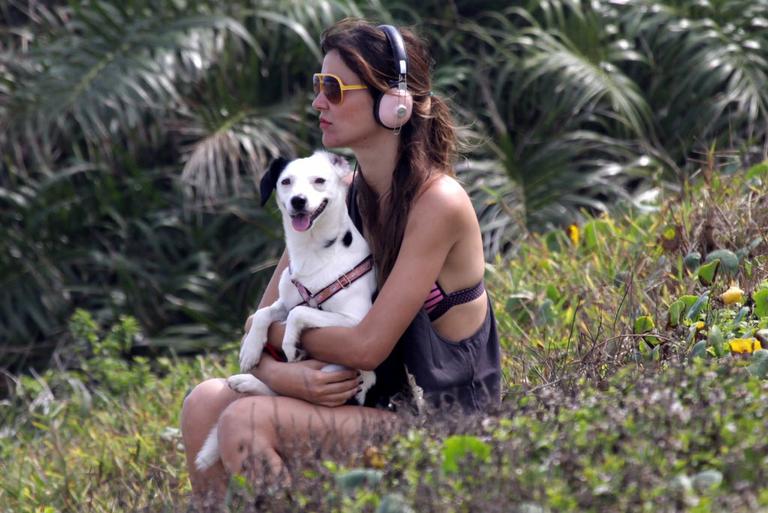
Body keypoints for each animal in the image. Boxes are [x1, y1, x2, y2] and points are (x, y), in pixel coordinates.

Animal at [195, 150, 378, 470]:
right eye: (286, 182)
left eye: (319, 180)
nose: (298, 201)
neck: (314, 250)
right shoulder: (286, 299)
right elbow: (263, 314)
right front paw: (251, 349)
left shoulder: (355, 323)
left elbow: (299, 314)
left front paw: (291, 344)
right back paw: (247, 382)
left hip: (340, 371)